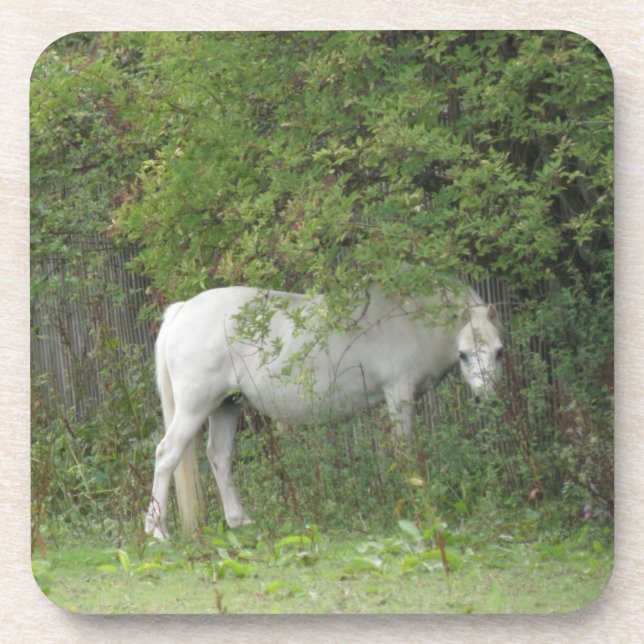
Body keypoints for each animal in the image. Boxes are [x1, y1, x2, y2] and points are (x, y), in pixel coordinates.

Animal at [144, 282, 504, 539]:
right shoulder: (399, 393)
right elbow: (403, 450)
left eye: (499, 352)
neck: (410, 319)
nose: (487, 399)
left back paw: (239, 521)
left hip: (226, 406)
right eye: (464, 354)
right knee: (166, 454)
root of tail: (182, 310)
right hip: (195, 407)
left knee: (219, 457)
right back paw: (157, 530)